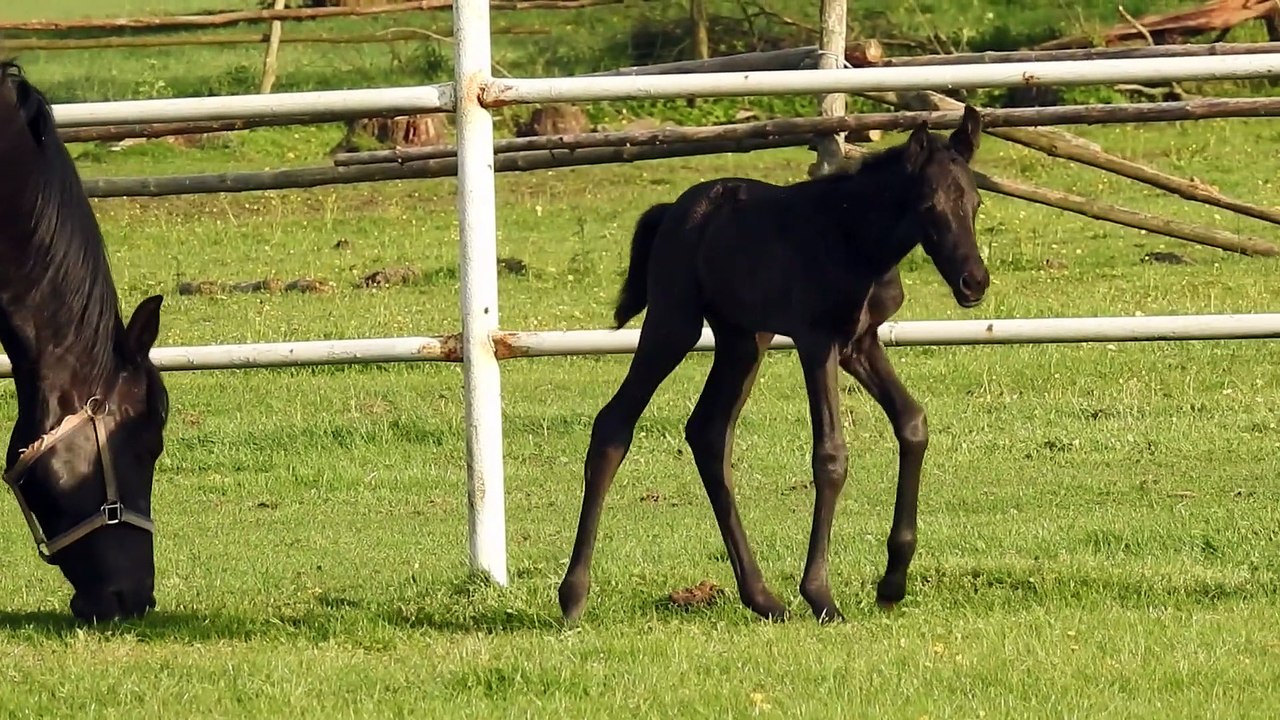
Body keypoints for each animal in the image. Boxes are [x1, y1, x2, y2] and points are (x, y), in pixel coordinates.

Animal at [558, 106, 989, 623]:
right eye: (927, 206)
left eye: (976, 203)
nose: (974, 282)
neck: (854, 239)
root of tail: (674, 212)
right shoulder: (816, 341)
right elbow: (830, 456)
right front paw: (820, 595)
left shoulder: (859, 343)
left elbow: (912, 423)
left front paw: (892, 583)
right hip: (674, 325)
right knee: (614, 425)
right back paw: (573, 596)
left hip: (743, 340)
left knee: (708, 433)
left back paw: (761, 597)